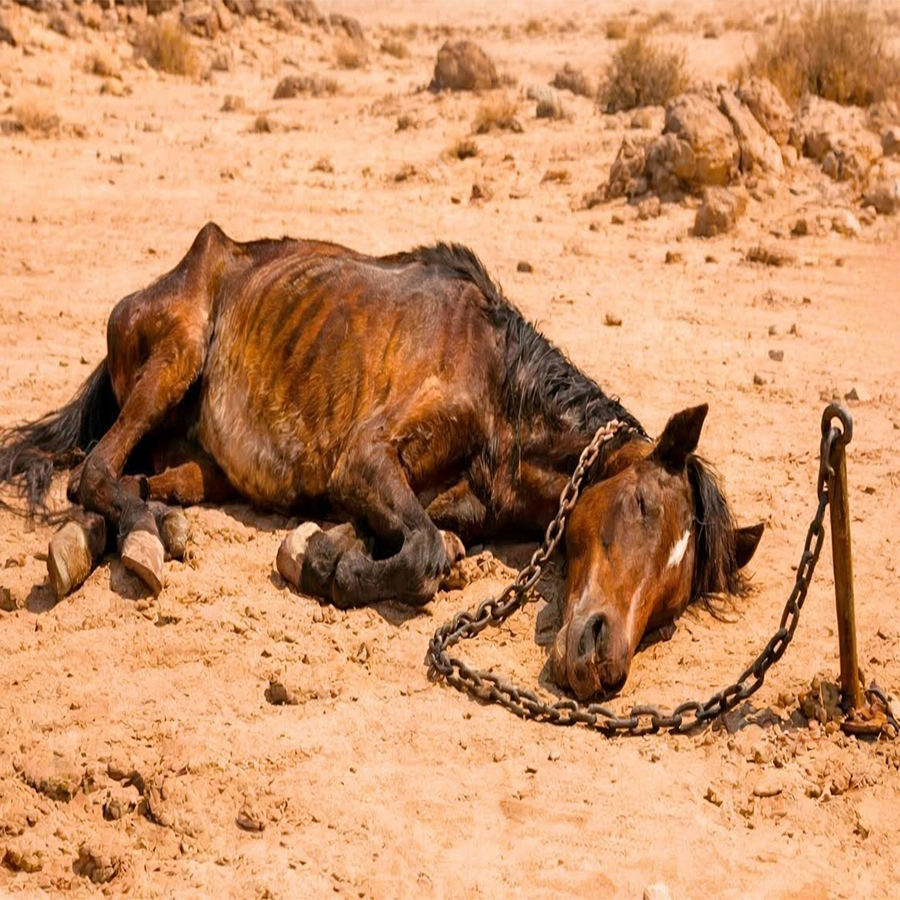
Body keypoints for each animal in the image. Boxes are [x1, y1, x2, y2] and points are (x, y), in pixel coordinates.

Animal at [0, 223, 763, 698]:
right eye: (639, 504)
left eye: (675, 598)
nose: (601, 662)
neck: (503, 387)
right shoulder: (364, 459)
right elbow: (422, 552)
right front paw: (324, 564)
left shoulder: (443, 497)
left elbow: (426, 539)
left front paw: (328, 550)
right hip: (175, 356)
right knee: (94, 472)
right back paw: (135, 540)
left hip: (197, 456)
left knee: (140, 479)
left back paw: (143, 532)